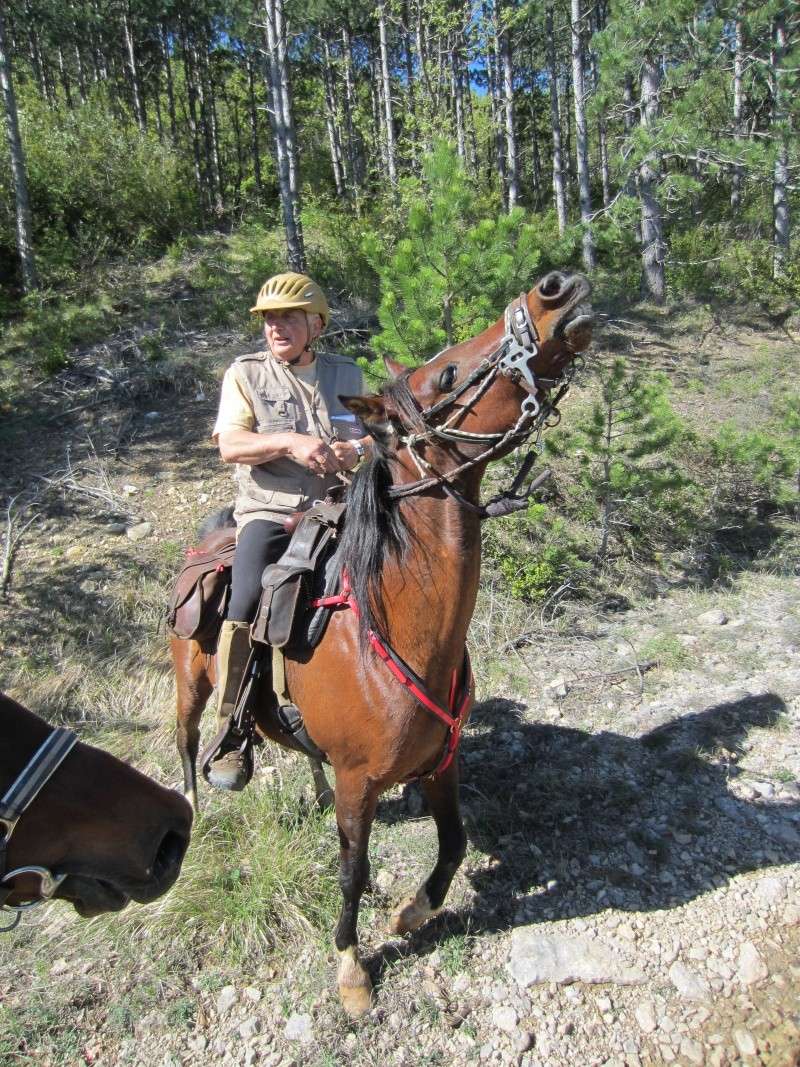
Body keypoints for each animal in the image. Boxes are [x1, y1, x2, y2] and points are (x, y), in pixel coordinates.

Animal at [170, 271, 597, 1011]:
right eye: (448, 370)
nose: (556, 288)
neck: (396, 626)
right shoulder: (360, 781)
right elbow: (351, 868)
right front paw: (351, 965)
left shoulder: (441, 762)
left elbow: (453, 842)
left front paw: (411, 911)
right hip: (191, 681)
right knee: (188, 738)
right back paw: (199, 800)